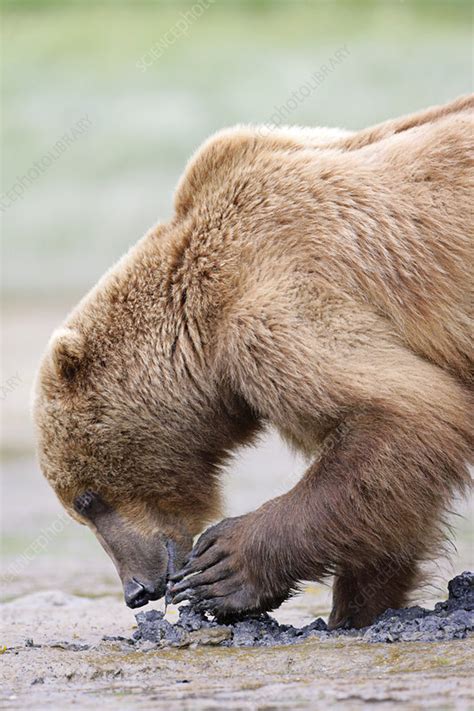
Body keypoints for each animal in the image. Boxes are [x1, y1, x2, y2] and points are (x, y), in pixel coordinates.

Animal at [32, 96, 470, 628]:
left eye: (87, 498)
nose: (136, 590)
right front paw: (358, 608)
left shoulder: (270, 312)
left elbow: (403, 412)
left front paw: (222, 569)